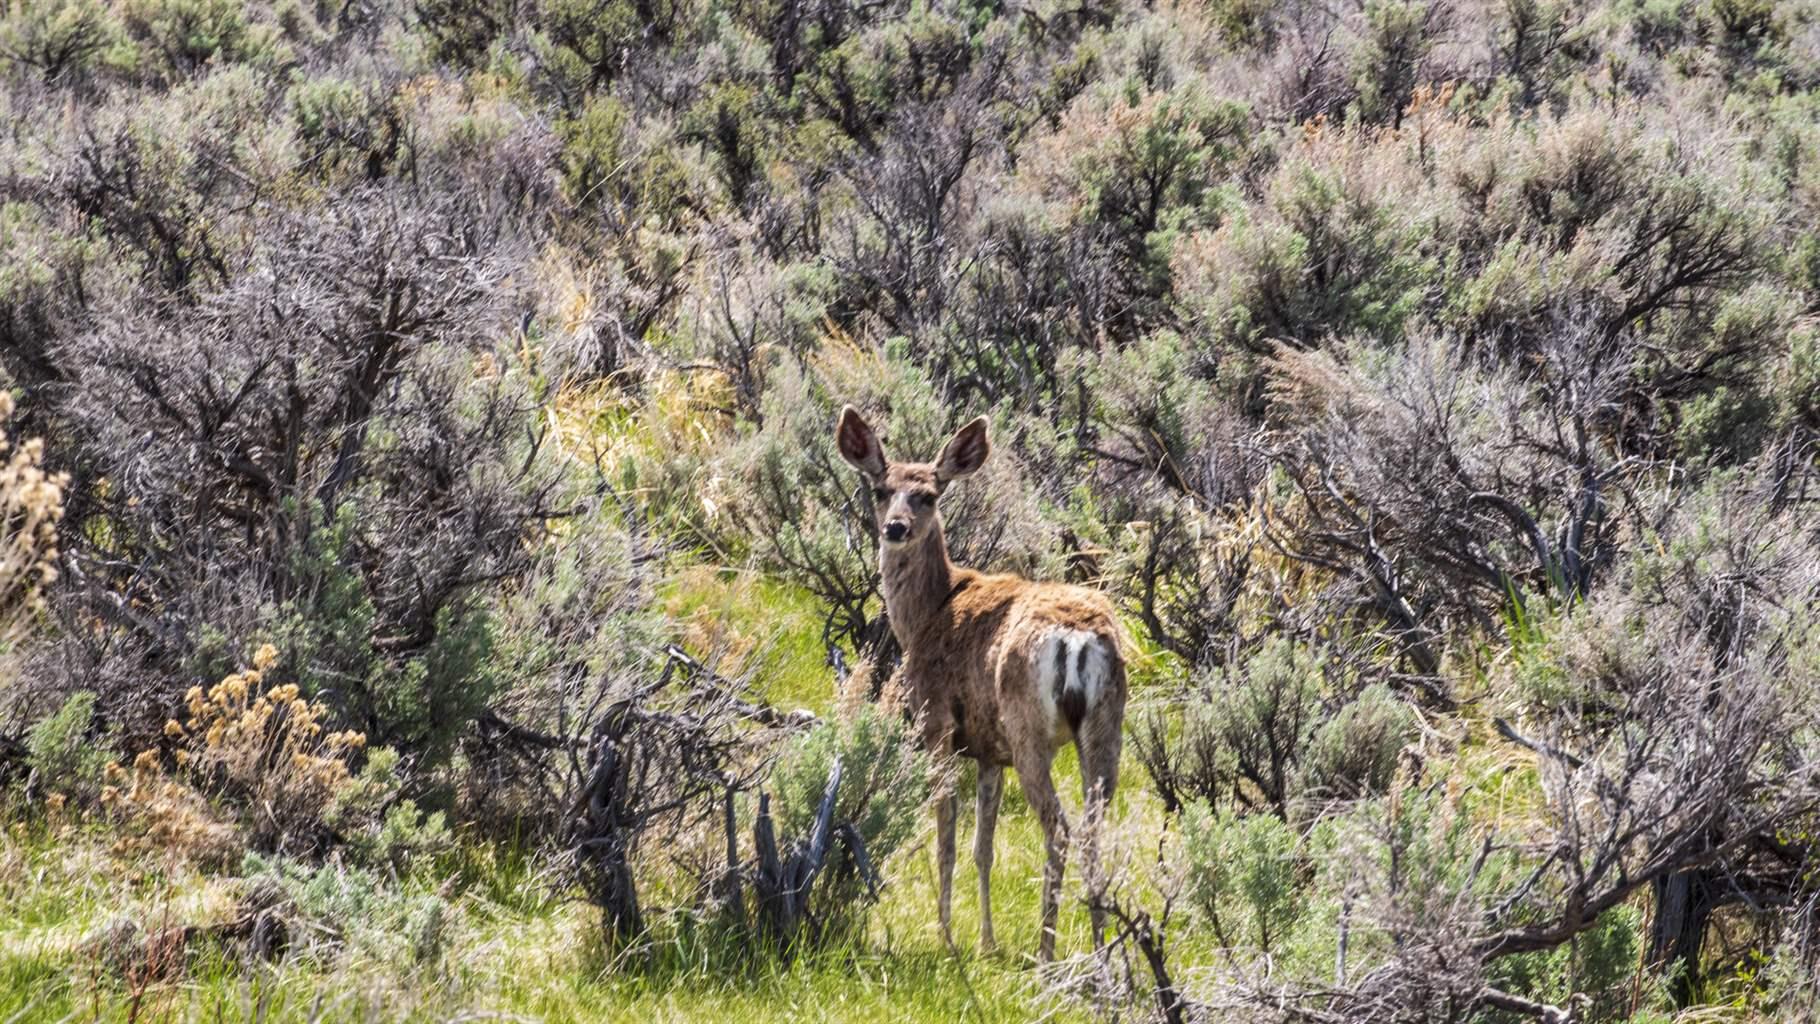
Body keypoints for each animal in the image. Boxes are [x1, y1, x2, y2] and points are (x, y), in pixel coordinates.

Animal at [833, 407, 1121, 960]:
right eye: (881, 488)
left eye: (928, 494)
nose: (896, 527)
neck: (927, 614)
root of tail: (1076, 639)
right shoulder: (990, 750)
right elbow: (981, 847)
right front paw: (987, 941)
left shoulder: (937, 722)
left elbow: (946, 837)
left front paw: (945, 935)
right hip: (1105, 725)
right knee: (1095, 828)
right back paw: (1103, 950)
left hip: (1029, 727)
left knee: (1058, 829)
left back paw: (1046, 951)